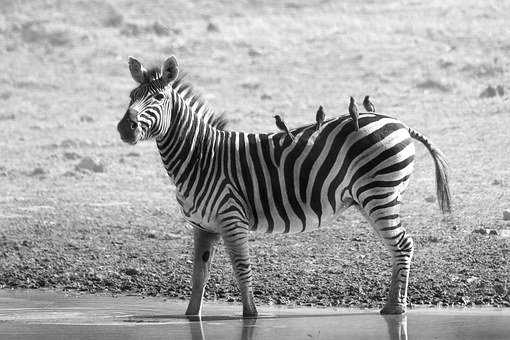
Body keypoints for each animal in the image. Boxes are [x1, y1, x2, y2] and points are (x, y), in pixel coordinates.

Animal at [116, 55, 450, 316]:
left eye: (159, 99)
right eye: (131, 95)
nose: (124, 128)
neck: (201, 155)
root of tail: (400, 124)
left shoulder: (231, 218)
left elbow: (241, 267)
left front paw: (251, 314)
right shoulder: (203, 225)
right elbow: (199, 274)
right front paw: (190, 316)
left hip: (380, 194)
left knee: (403, 244)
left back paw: (396, 308)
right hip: (373, 198)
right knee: (398, 246)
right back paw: (391, 306)